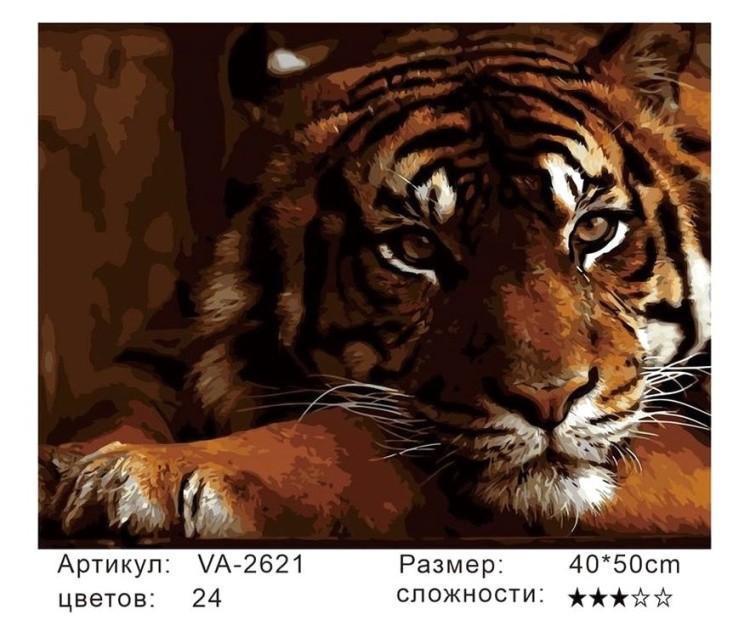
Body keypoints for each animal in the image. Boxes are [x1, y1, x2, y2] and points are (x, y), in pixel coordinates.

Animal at [39, 23, 710, 541]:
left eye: (594, 228)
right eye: (416, 248)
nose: (549, 400)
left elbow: (357, 435)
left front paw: (151, 474)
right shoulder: (167, 345)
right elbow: (115, 401)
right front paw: (73, 467)